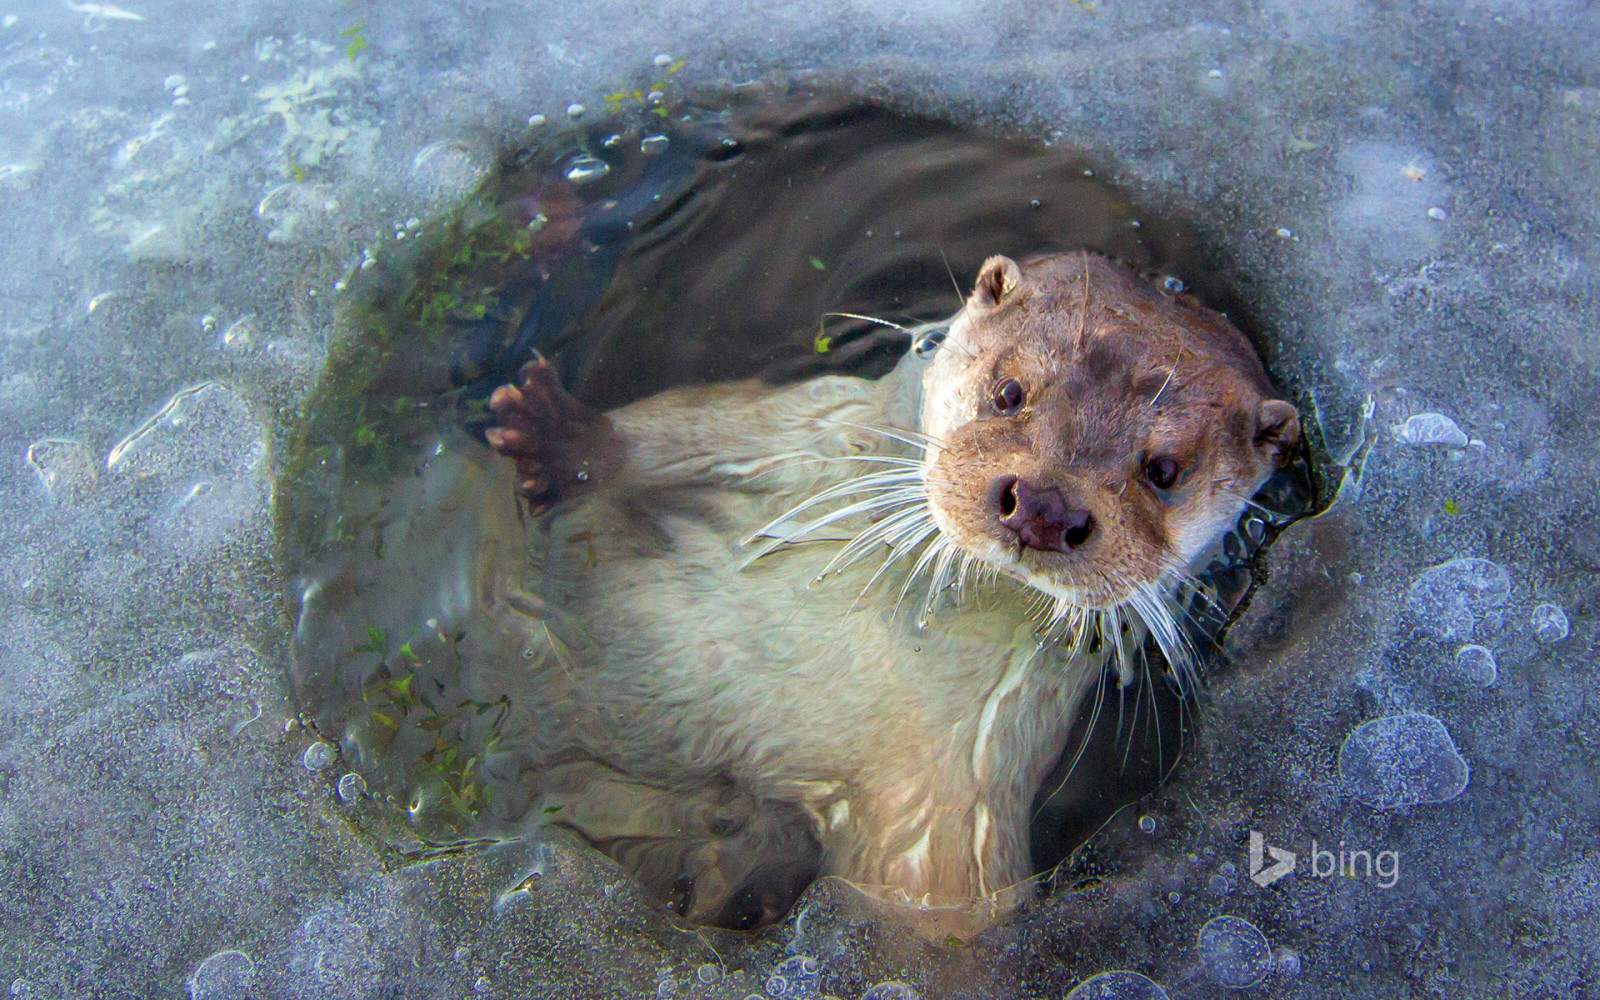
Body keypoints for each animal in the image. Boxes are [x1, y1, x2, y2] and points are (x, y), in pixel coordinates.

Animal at [480, 251, 1292, 928]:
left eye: (1164, 471)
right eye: (1009, 391)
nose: (1045, 505)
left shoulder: (963, 790)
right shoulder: (808, 423)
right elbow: (686, 425)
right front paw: (560, 436)